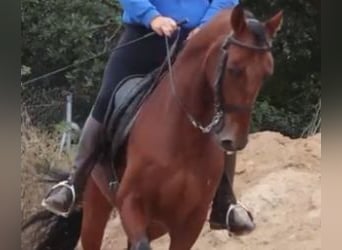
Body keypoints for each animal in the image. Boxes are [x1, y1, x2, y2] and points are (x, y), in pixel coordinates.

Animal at [22, 4, 282, 250]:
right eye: (234, 68)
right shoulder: (131, 204)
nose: (234, 140)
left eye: (267, 73)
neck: (184, 140)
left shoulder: (190, 223)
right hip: (97, 206)